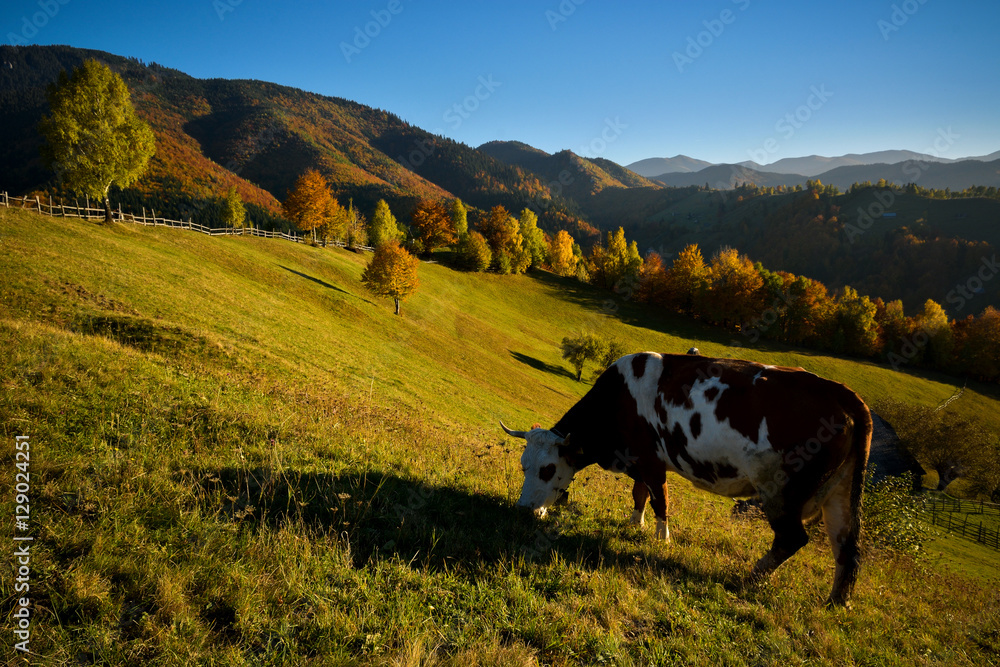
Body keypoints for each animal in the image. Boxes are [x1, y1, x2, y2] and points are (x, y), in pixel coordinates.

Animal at [504, 352, 872, 608]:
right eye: (523, 466)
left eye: (547, 469)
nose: (523, 509)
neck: (617, 402)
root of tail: (841, 393)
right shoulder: (640, 462)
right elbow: (639, 495)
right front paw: (635, 523)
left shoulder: (651, 461)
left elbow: (660, 500)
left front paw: (662, 538)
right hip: (839, 492)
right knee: (846, 547)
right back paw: (836, 602)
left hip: (780, 490)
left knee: (792, 538)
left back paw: (750, 576)